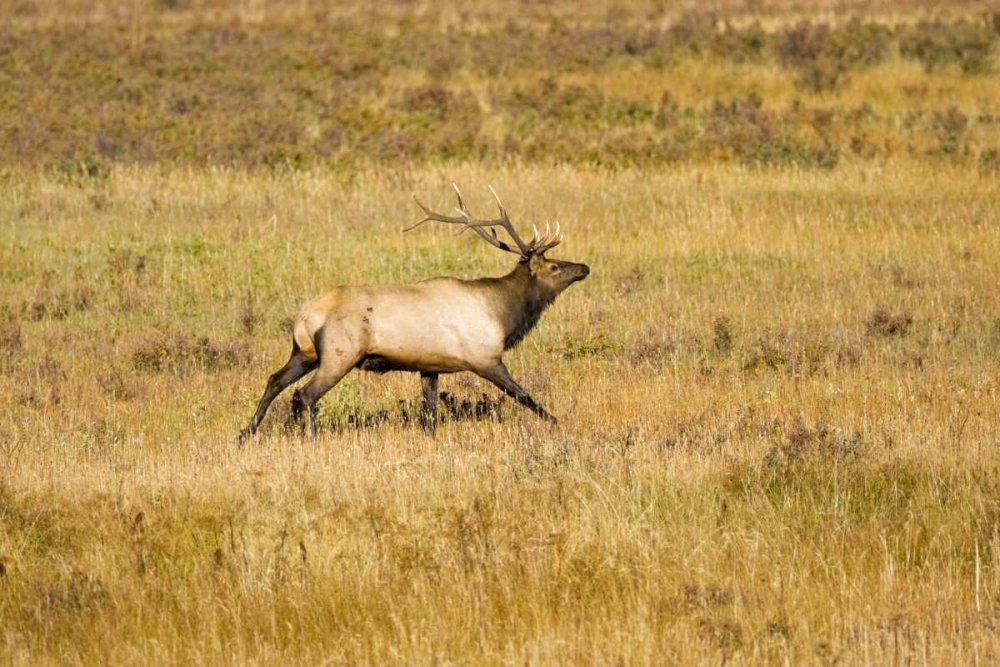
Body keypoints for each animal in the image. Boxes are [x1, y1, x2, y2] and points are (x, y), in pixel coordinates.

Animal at [239, 183, 588, 446]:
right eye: (554, 266)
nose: (584, 267)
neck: (505, 314)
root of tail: (307, 315)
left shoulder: (429, 366)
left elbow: (430, 412)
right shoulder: (484, 358)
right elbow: (523, 395)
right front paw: (556, 422)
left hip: (305, 352)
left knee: (275, 380)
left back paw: (247, 433)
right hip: (341, 353)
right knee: (306, 393)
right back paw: (309, 437)